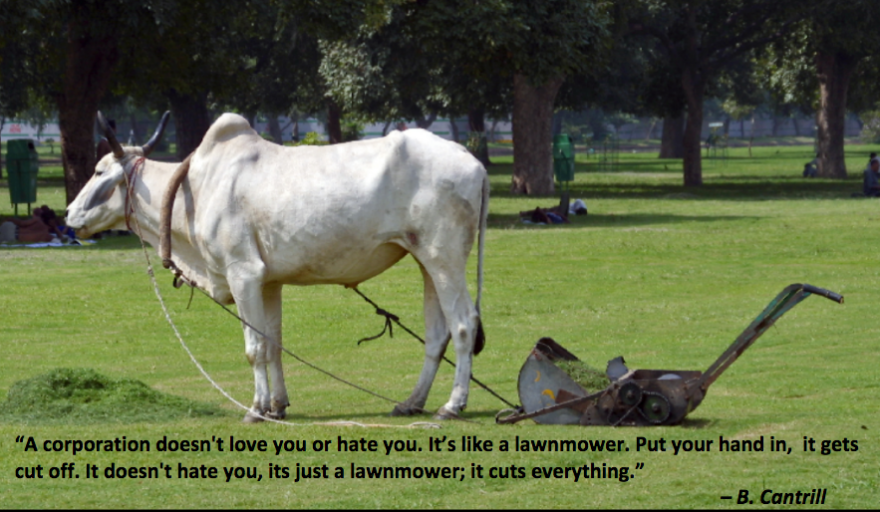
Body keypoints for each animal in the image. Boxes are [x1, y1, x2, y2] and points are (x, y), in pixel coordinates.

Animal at [66, 112, 488, 422]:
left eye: (100, 172)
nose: (69, 214)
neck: (196, 187)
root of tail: (476, 165)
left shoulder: (243, 273)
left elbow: (254, 348)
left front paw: (256, 409)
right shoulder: (268, 283)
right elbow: (273, 344)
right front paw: (277, 406)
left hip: (445, 257)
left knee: (463, 324)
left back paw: (452, 406)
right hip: (426, 261)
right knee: (436, 334)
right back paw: (411, 402)